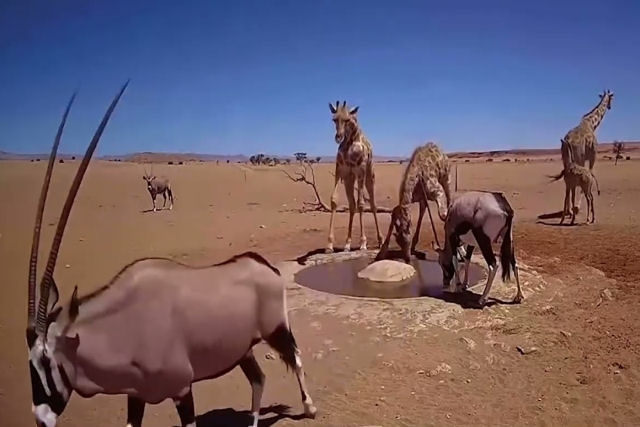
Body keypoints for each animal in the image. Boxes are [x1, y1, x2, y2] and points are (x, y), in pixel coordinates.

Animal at [328, 100, 382, 254]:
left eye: (347, 120)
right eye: (334, 119)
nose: (338, 137)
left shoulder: (361, 171)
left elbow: (362, 204)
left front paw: (363, 243)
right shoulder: (341, 171)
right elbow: (334, 200)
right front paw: (329, 244)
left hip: (370, 176)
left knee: (373, 204)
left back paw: (380, 240)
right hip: (349, 180)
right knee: (352, 205)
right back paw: (347, 244)